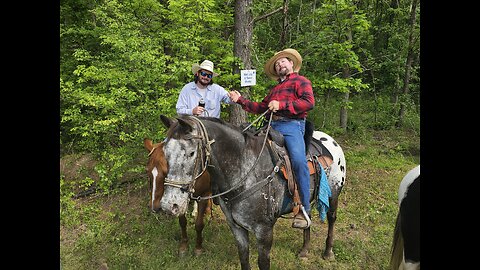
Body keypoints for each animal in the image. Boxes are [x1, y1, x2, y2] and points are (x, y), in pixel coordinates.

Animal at [158, 114, 348, 270]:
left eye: (191, 153)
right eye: (165, 152)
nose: (169, 205)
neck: (245, 170)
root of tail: (329, 140)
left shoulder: (264, 231)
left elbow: (263, 263)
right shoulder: (236, 227)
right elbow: (244, 258)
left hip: (334, 194)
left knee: (332, 218)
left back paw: (328, 252)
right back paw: (304, 250)